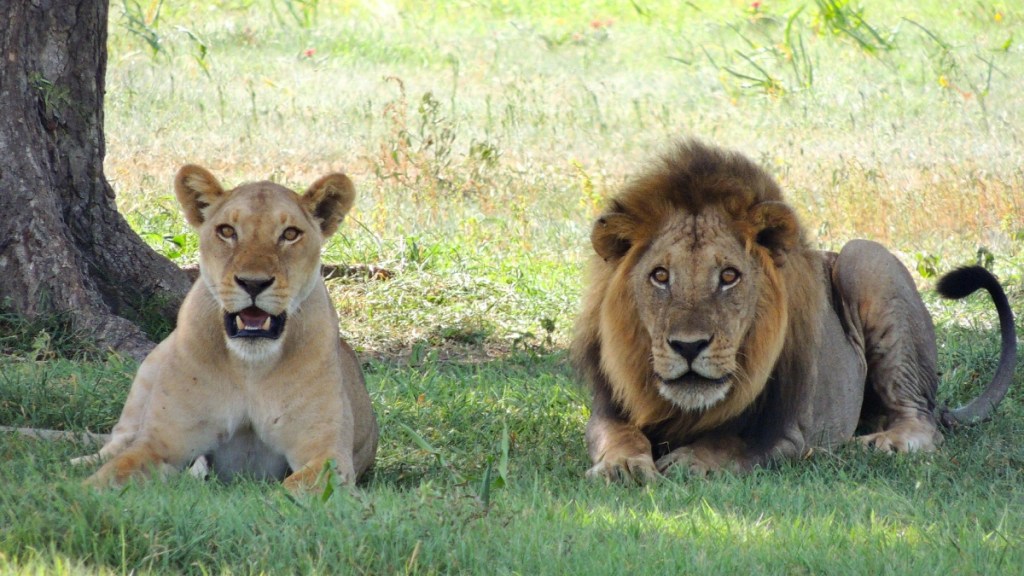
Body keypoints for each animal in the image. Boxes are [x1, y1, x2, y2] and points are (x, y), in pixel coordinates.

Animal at [76, 165, 380, 487]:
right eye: (226, 231)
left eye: (290, 234)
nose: (253, 283)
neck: (250, 368)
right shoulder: (160, 443)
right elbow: (109, 475)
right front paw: (73, 491)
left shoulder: (328, 455)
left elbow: (291, 489)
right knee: (116, 442)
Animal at [577, 140, 1015, 479]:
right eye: (661, 276)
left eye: (729, 276)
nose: (688, 346)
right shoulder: (608, 409)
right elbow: (619, 435)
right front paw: (623, 466)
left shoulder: (791, 431)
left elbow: (732, 443)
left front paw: (690, 461)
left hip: (865, 258)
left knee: (922, 420)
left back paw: (880, 444)